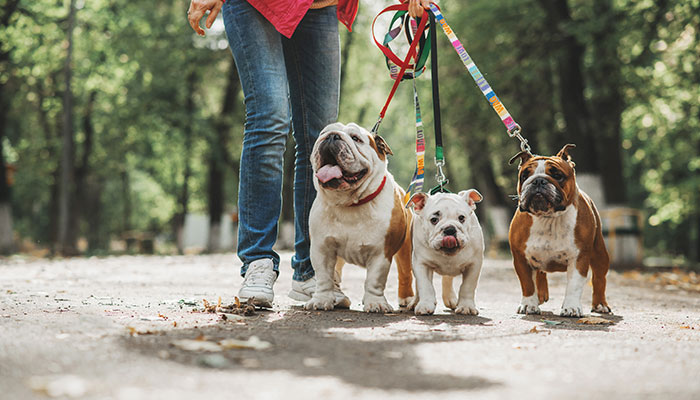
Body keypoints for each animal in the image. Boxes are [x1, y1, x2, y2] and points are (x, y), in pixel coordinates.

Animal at [304, 122, 412, 312]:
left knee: (406, 274)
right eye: (323, 133)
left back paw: (408, 299)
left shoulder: (380, 253)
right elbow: (324, 277)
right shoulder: (322, 248)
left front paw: (375, 303)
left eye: (356, 138)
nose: (332, 136)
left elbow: (374, 280)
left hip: (406, 250)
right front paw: (322, 299)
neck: (349, 203)